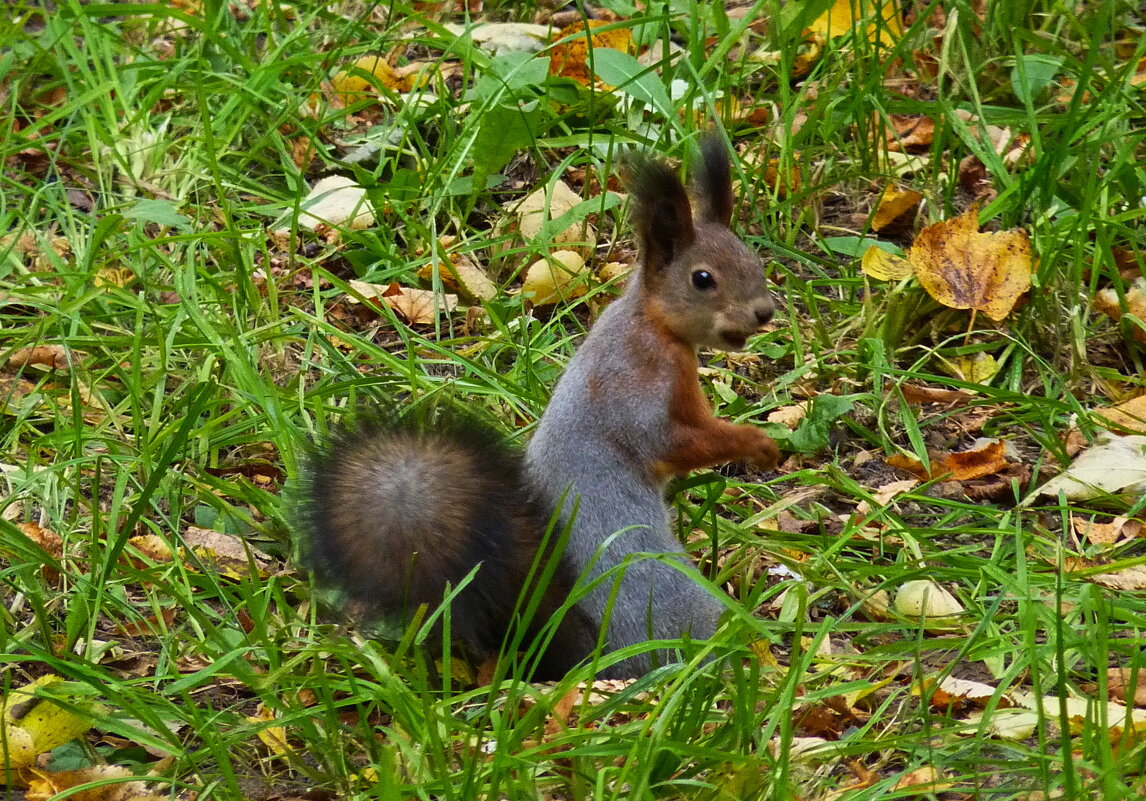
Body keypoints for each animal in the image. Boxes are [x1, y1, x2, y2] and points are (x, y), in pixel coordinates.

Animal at [297, 134, 779, 678]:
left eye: (753, 260)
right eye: (702, 279)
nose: (764, 312)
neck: (651, 324)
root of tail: (586, 652)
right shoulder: (640, 386)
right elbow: (671, 443)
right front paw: (755, 444)